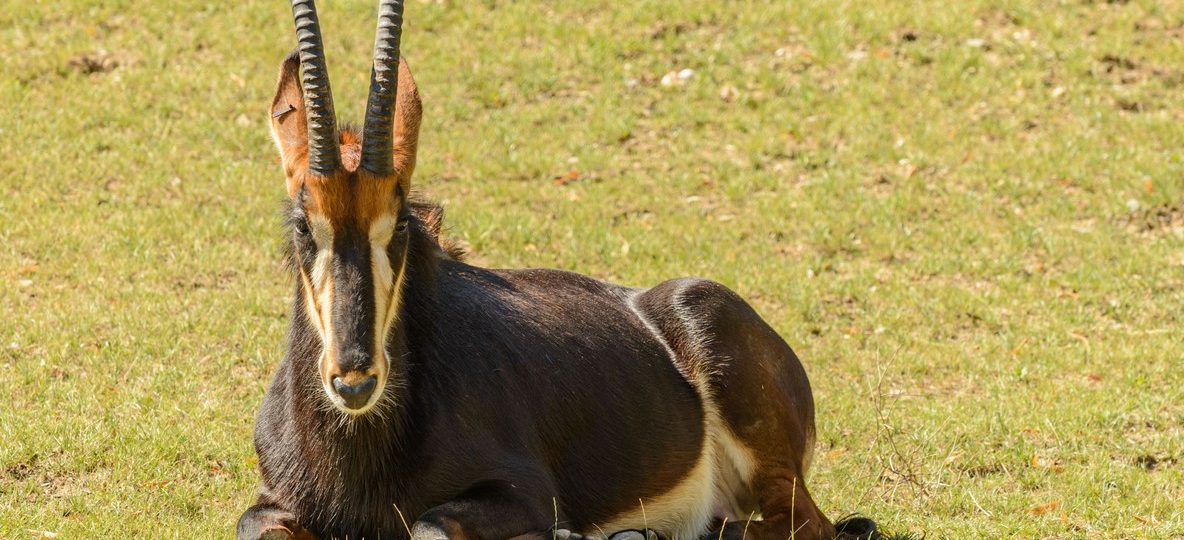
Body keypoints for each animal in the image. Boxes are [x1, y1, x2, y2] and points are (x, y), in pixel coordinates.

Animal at [237, 1, 880, 539]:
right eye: (304, 225)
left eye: (398, 225)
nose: (354, 381)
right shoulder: (274, 501)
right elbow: (254, 525)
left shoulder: (524, 494)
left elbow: (429, 524)